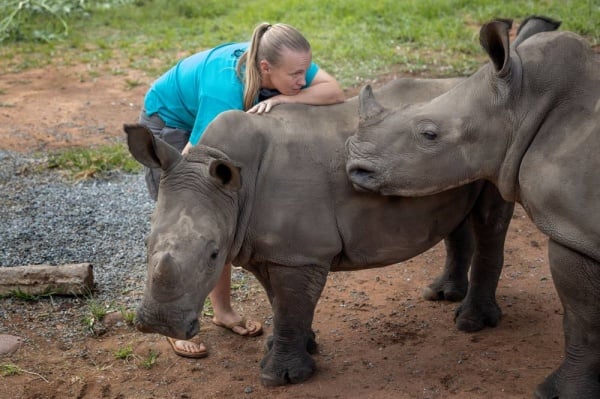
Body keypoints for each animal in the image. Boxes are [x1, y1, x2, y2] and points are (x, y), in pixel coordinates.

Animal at [346, 18, 600, 396]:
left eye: (429, 134)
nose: (355, 169)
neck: (525, 103)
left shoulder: (574, 230)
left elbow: (582, 323)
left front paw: (559, 392)